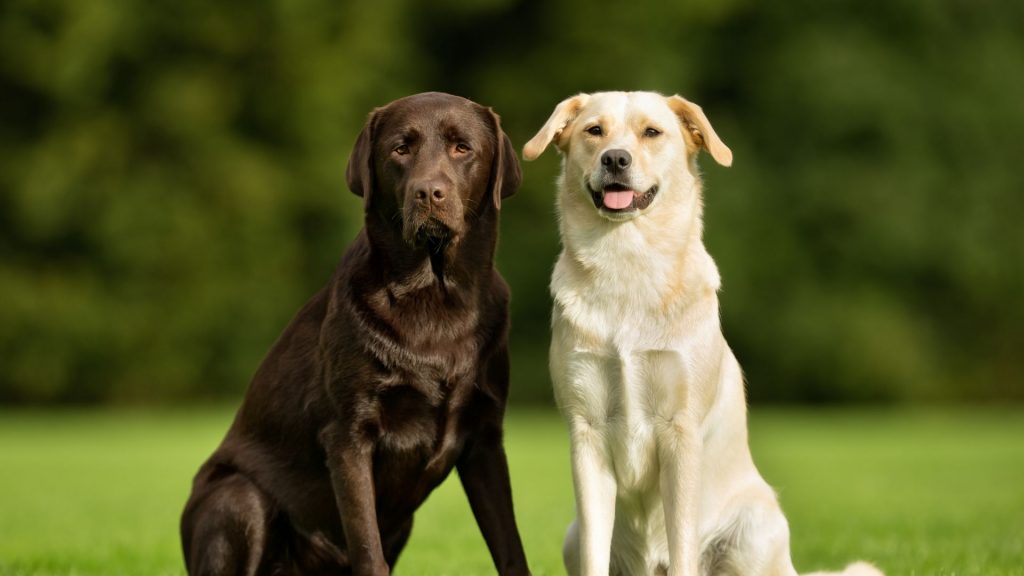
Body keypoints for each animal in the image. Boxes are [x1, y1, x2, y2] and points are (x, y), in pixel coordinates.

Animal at [524, 91, 884, 573]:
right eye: (594, 131)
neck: (627, 262)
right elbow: (595, 557)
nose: (615, 158)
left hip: (756, 529)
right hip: (573, 535)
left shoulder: (681, 432)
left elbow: (682, 547)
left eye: (651, 132)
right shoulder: (587, 434)